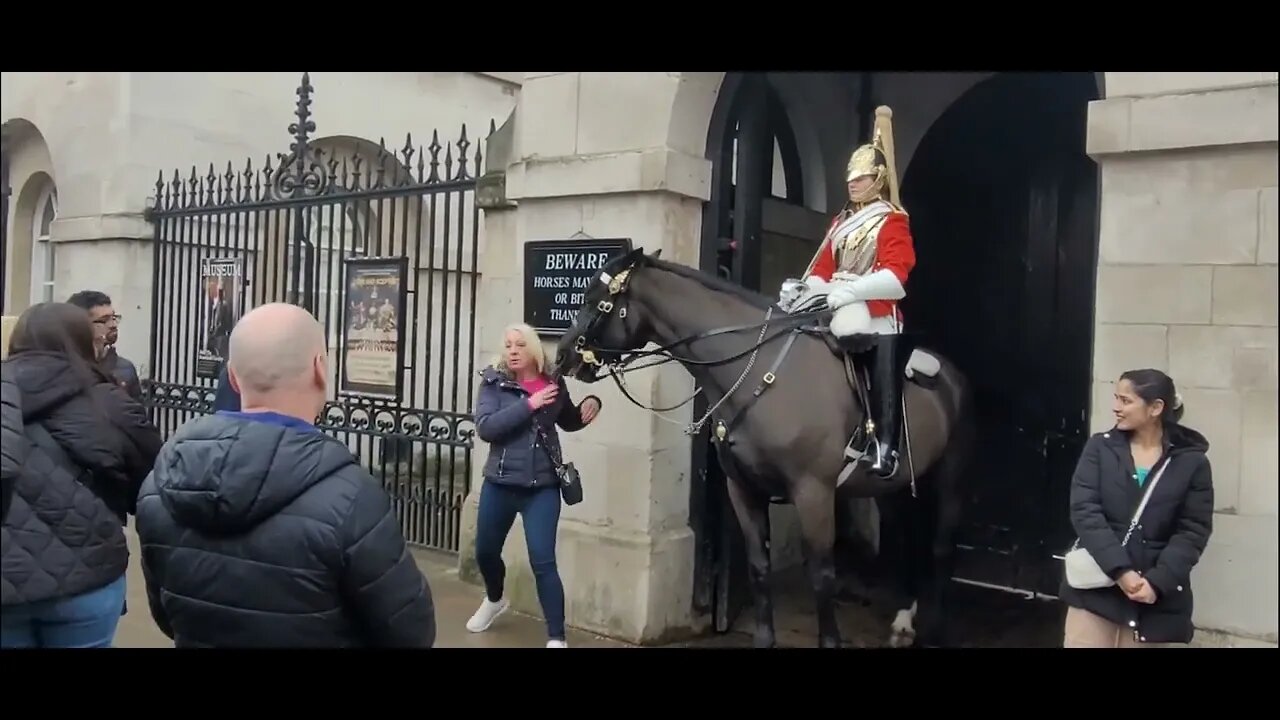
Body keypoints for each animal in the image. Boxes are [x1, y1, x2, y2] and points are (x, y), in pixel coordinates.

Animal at [552, 245, 977, 645]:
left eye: (598, 300)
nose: (562, 355)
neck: (757, 369)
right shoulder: (743, 490)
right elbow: (759, 568)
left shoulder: (813, 492)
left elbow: (822, 574)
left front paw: (830, 640)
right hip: (890, 487)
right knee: (906, 542)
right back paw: (904, 619)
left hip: (951, 476)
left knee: (942, 547)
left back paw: (934, 629)